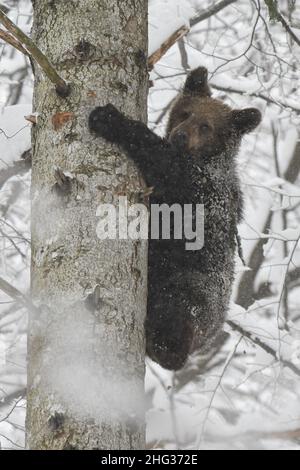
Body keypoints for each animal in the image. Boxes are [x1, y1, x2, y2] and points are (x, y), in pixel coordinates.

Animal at [88, 68, 262, 370]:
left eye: (206, 126)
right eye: (185, 113)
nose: (180, 136)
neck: (203, 158)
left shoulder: (199, 188)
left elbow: (163, 163)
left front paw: (109, 118)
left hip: (192, 286)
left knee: (176, 312)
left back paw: (163, 344)